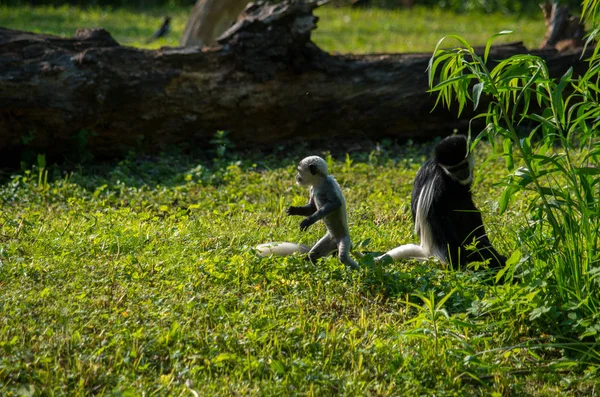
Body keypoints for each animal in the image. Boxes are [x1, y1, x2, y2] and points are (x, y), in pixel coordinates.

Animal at [378, 135, 504, 268]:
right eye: (453, 169)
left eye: (463, 165)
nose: (462, 174)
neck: (447, 174)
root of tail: (429, 250)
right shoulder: (438, 182)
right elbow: (439, 213)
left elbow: (469, 207)